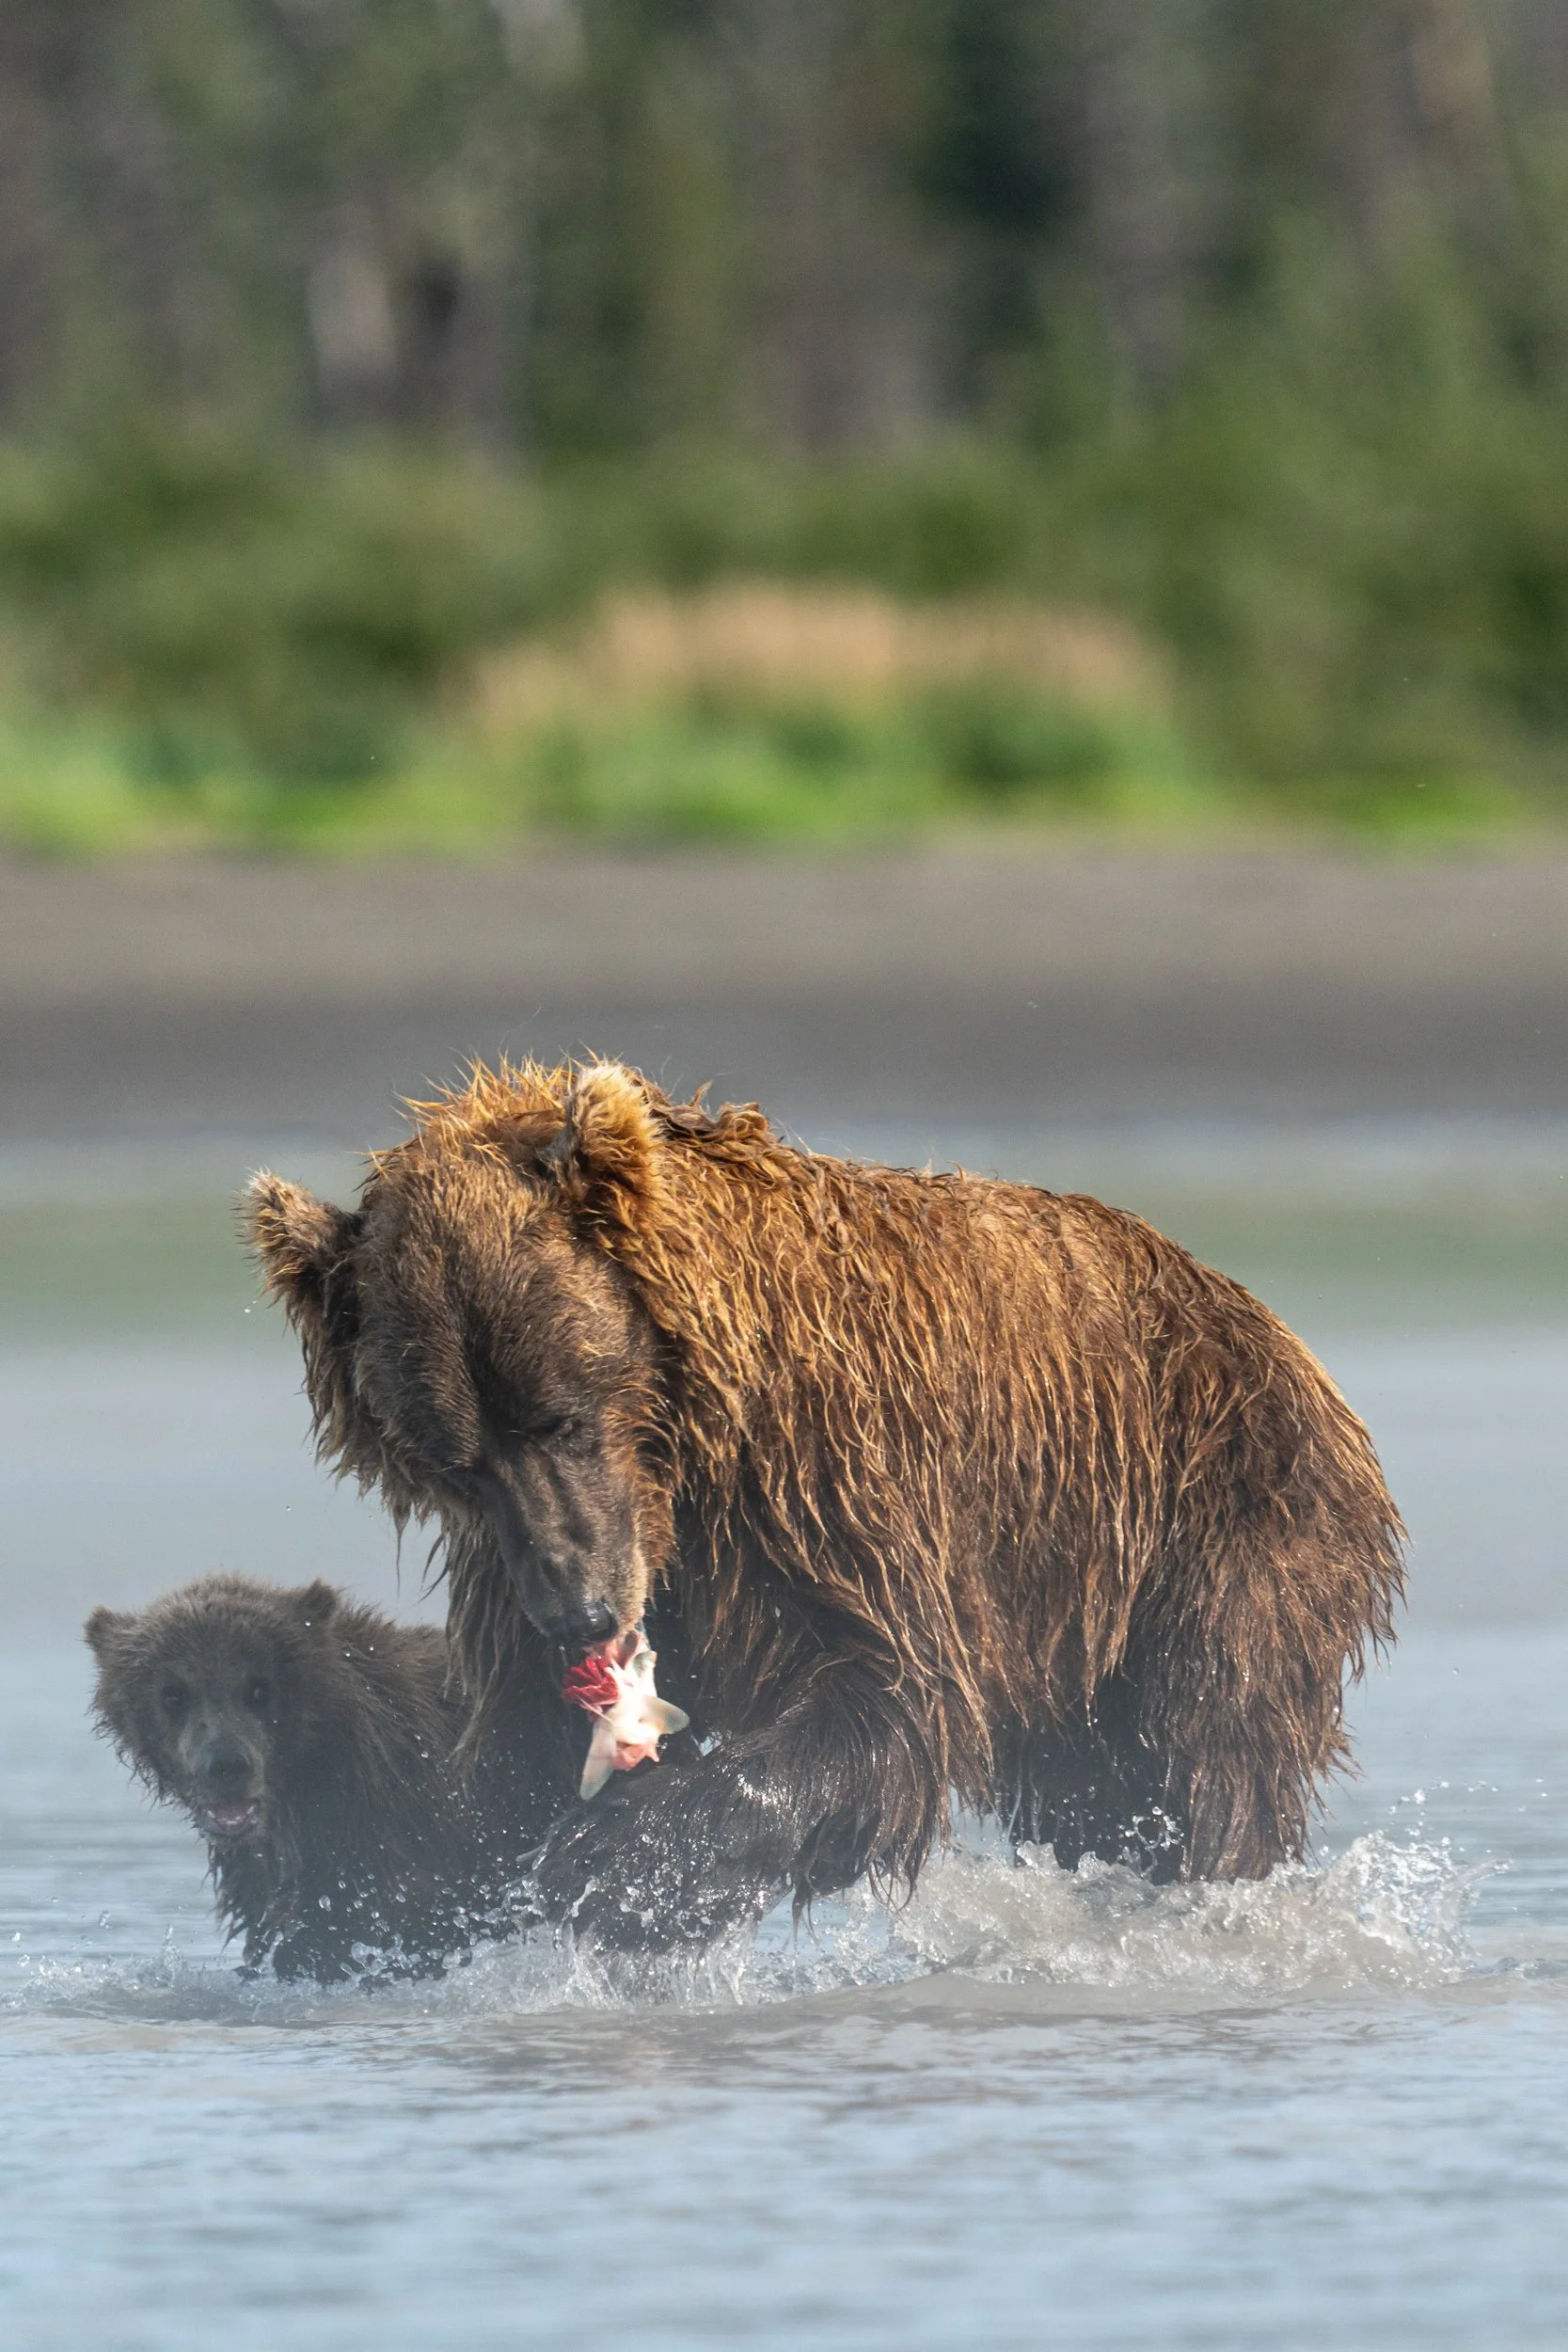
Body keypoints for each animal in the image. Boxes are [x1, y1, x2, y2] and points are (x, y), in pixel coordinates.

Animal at [246, 1059, 1405, 1954]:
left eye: (561, 1413)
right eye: (452, 1459)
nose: (581, 1611)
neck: (688, 1454)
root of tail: (1271, 1327)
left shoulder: (830, 1480)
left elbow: (886, 1699)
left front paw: (626, 1863)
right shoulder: (524, 1567)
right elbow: (510, 1755)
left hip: (1213, 1520)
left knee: (1198, 1753)